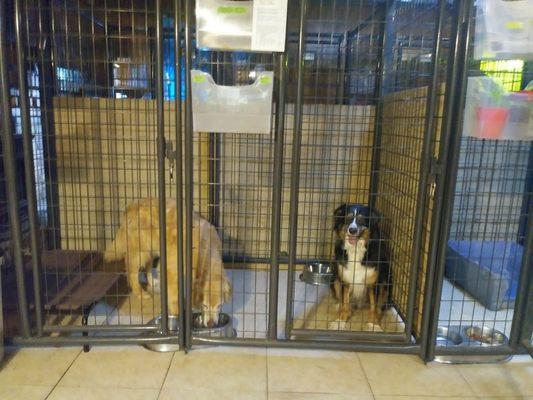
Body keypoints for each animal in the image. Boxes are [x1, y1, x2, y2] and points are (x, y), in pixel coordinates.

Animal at [103, 198, 230, 326]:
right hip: (141, 252)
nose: (211, 324)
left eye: (219, 306)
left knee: (148, 266)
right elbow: (174, 296)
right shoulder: (172, 269)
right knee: (132, 273)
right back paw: (141, 294)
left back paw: (152, 282)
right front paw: (177, 315)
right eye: (204, 305)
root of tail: (132, 207)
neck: (205, 251)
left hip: (153, 249)